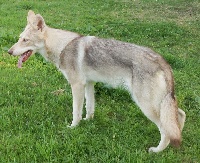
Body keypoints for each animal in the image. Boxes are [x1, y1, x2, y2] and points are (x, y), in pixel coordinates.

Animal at [8, 10, 186, 153]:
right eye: (19, 39)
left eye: (25, 40)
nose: (9, 52)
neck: (62, 46)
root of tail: (162, 61)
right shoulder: (89, 84)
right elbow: (89, 107)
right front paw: (88, 121)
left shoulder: (77, 86)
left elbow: (76, 111)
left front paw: (73, 127)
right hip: (160, 104)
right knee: (179, 117)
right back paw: (177, 144)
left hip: (146, 105)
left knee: (166, 129)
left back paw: (157, 151)